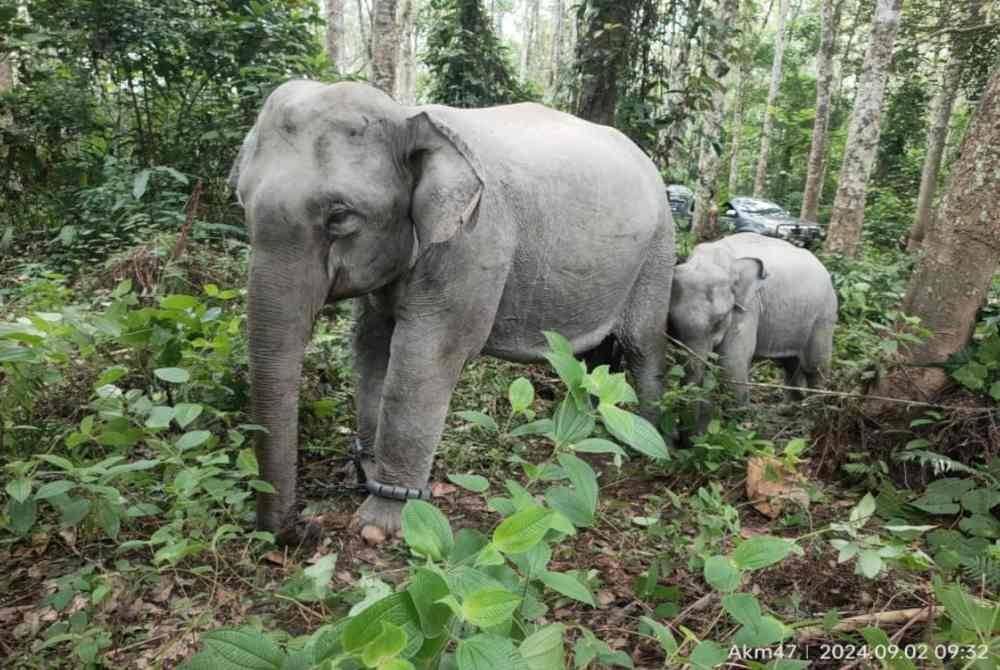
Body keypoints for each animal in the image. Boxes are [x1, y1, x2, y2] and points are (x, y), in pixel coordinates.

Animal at [230, 81, 676, 544]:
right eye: (240, 200)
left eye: (340, 216)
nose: (306, 528)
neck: (409, 116)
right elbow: (371, 346)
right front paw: (365, 473)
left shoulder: (474, 245)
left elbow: (425, 359)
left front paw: (378, 525)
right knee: (591, 355)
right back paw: (590, 429)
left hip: (659, 247)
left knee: (643, 343)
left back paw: (643, 443)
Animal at [668, 234, 840, 436]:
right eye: (672, 324)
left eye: (720, 320)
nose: (686, 436)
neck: (715, 259)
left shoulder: (748, 308)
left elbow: (731, 364)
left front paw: (738, 427)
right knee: (790, 364)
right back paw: (789, 409)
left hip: (824, 315)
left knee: (815, 366)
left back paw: (814, 411)